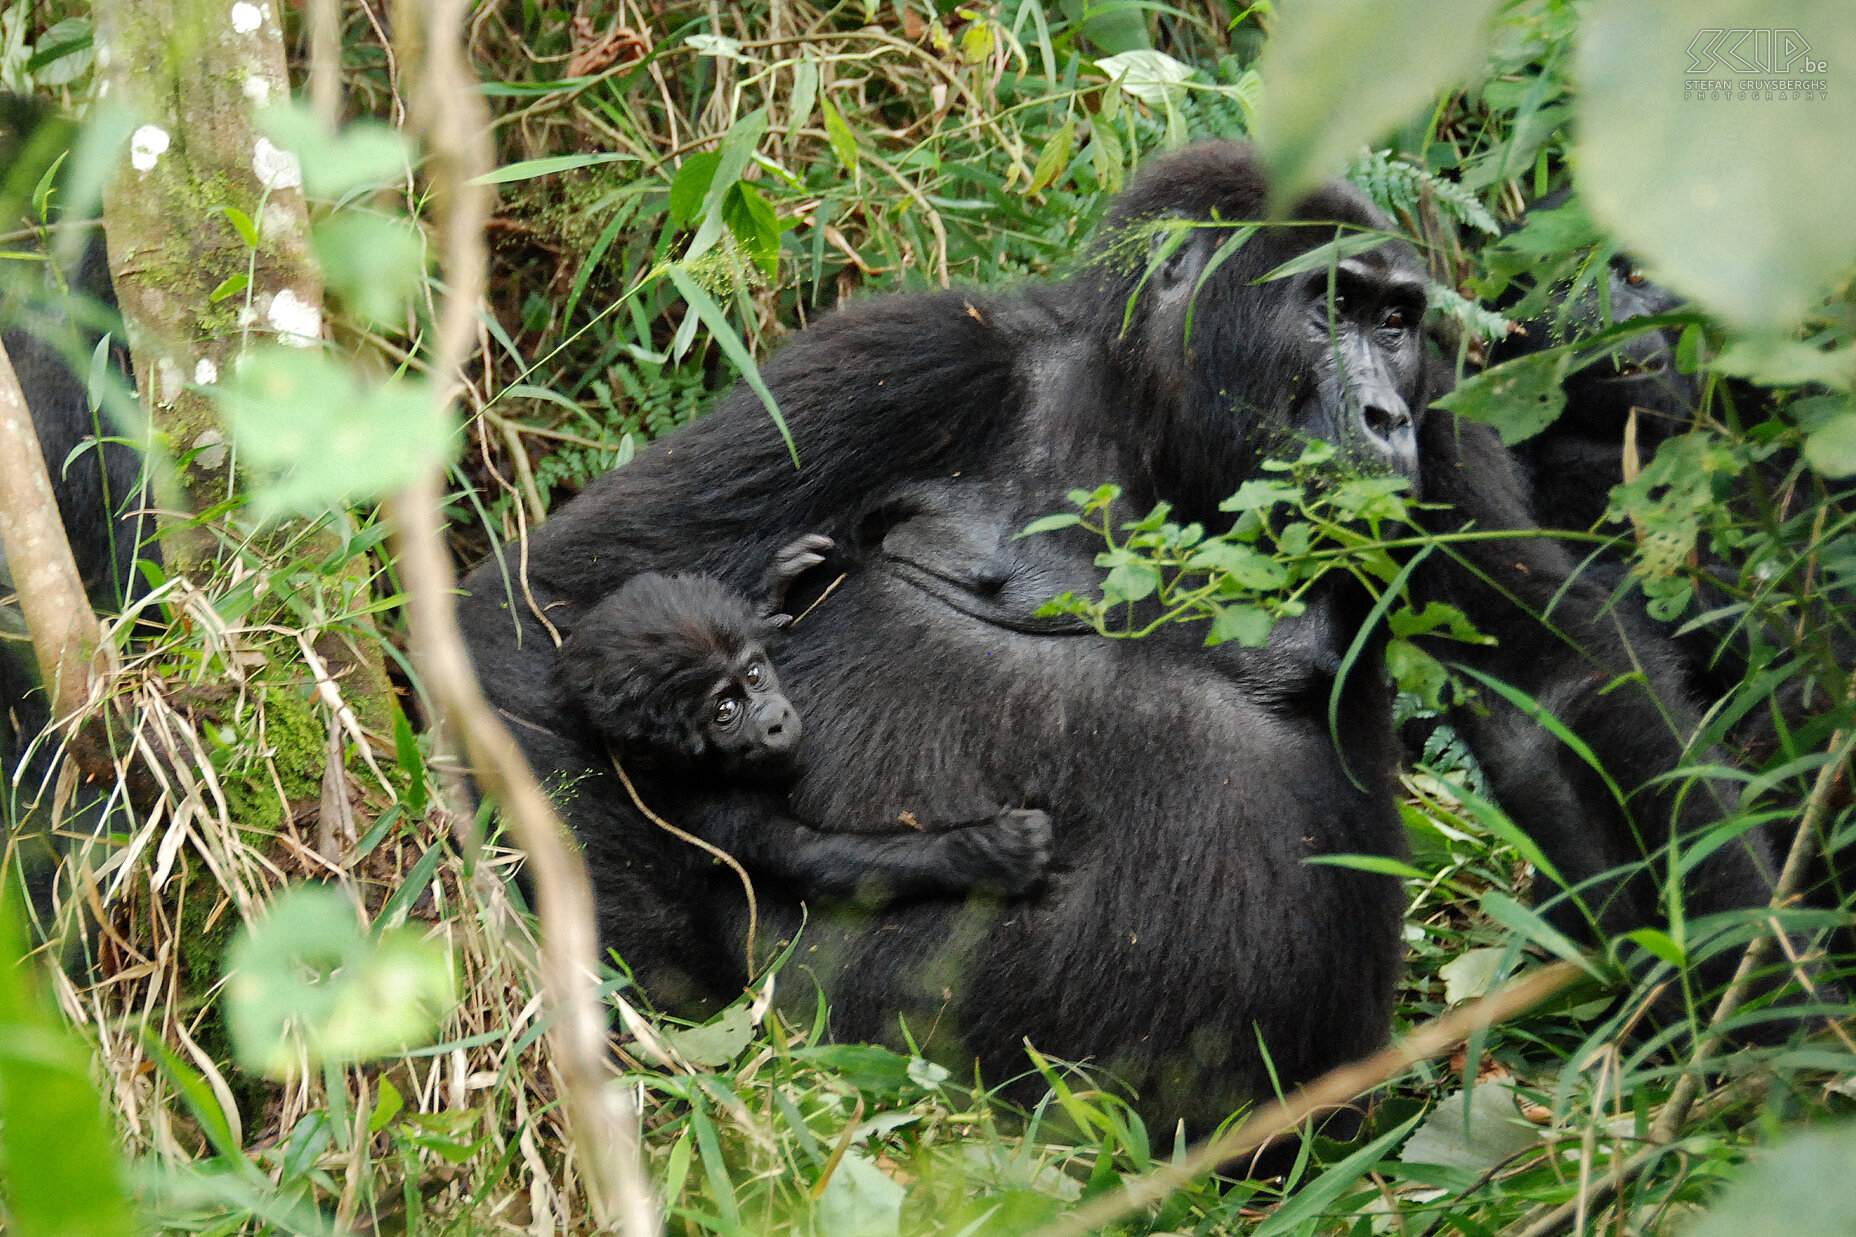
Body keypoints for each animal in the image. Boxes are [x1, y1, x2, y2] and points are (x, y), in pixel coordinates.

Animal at [556, 546, 1054, 902]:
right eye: (724, 712)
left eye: (754, 674)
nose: (776, 720)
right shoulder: (715, 811)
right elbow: (816, 858)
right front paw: (985, 853)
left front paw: (765, 599)